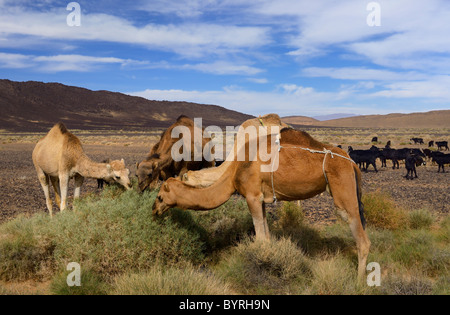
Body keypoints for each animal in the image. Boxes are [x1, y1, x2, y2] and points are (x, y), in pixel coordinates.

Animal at [153, 127, 370, 280]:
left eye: (160, 196)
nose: (154, 210)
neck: (233, 173)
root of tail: (351, 162)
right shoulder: (261, 199)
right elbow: (266, 236)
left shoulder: (252, 196)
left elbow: (259, 239)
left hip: (342, 186)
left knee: (360, 236)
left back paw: (359, 282)